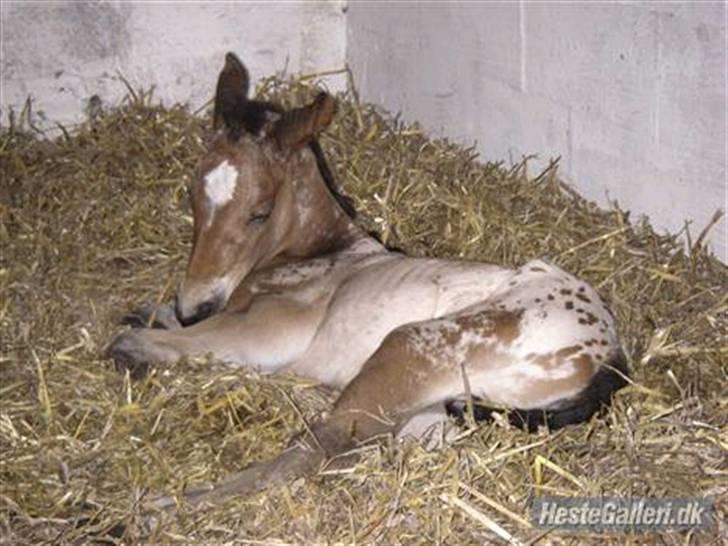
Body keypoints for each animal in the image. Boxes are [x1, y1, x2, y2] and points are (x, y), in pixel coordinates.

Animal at [106, 52, 624, 506]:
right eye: (191, 195)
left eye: (260, 212)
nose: (195, 303)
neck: (323, 253)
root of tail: (611, 357)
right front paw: (154, 313)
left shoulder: (265, 330)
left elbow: (168, 339)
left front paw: (135, 345)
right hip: (430, 409)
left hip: (409, 344)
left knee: (317, 448)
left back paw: (160, 506)